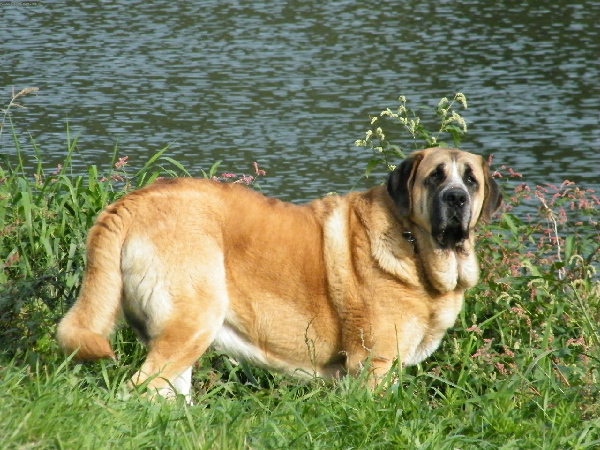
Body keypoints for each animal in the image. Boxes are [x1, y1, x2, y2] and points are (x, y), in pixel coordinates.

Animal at [57, 147, 502, 398]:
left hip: (180, 338)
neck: (413, 244)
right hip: (192, 322)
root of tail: (132, 202)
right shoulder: (375, 365)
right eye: (434, 177)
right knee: (136, 391)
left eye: (471, 181)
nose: (456, 198)